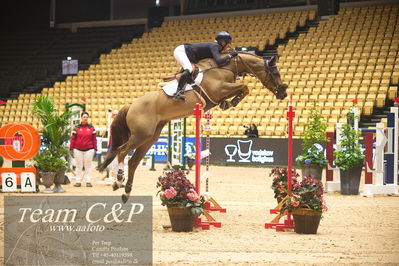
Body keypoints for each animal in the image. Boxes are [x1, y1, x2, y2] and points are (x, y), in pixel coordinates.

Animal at [98, 53, 290, 203]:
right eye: (275, 72)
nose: (283, 93)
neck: (226, 68)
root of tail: (131, 105)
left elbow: (243, 88)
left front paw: (228, 103)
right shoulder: (219, 89)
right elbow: (245, 87)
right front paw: (232, 101)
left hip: (150, 137)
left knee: (133, 161)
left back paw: (125, 190)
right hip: (141, 135)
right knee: (122, 151)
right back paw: (119, 180)